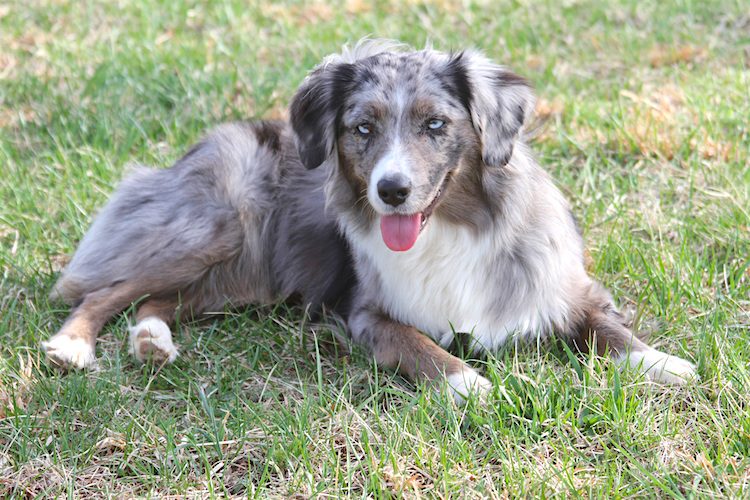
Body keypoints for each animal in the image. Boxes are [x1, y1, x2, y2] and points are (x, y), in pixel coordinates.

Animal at [41, 40, 700, 402]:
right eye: (363, 128)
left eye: (436, 124)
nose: (391, 190)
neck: (450, 231)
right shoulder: (367, 314)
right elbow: (419, 345)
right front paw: (469, 383)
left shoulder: (563, 286)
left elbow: (606, 327)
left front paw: (661, 363)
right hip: (216, 230)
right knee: (106, 289)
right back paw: (71, 346)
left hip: (247, 278)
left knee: (160, 300)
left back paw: (152, 340)